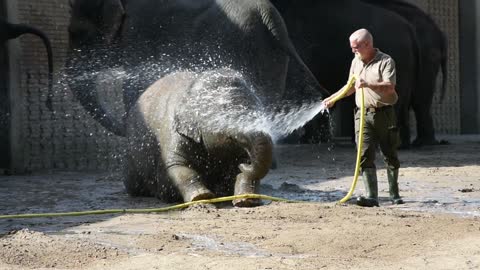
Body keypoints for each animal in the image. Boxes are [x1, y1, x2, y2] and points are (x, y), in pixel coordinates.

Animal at [65, 0, 328, 137]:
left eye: (77, 32)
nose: (121, 127)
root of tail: (269, 15)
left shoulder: (137, 31)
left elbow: (133, 89)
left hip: (240, 46)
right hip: (269, 56)